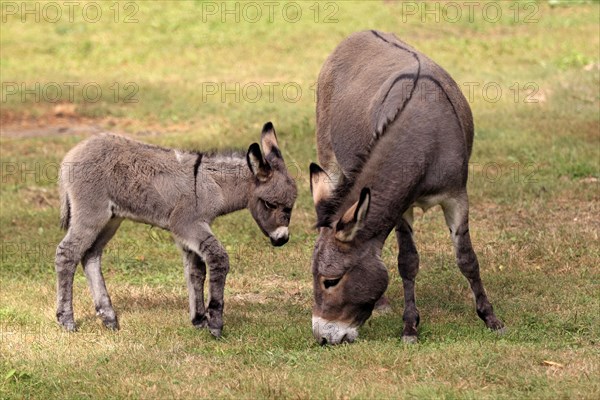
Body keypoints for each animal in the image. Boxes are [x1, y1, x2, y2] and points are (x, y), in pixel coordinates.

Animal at [55, 123, 296, 336]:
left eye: (291, 206)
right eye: (270, 204)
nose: (282, 239)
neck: (214, 184)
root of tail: (71, 154)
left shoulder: (190, 233)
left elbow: (195, 271)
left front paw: (199, 320)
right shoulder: (187, 224)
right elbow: (218, 259)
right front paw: (215, 324)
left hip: (111, 219)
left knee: (90, 256)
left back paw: (108, 318)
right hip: (91, 213)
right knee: (67, 253)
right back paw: (67, 320)